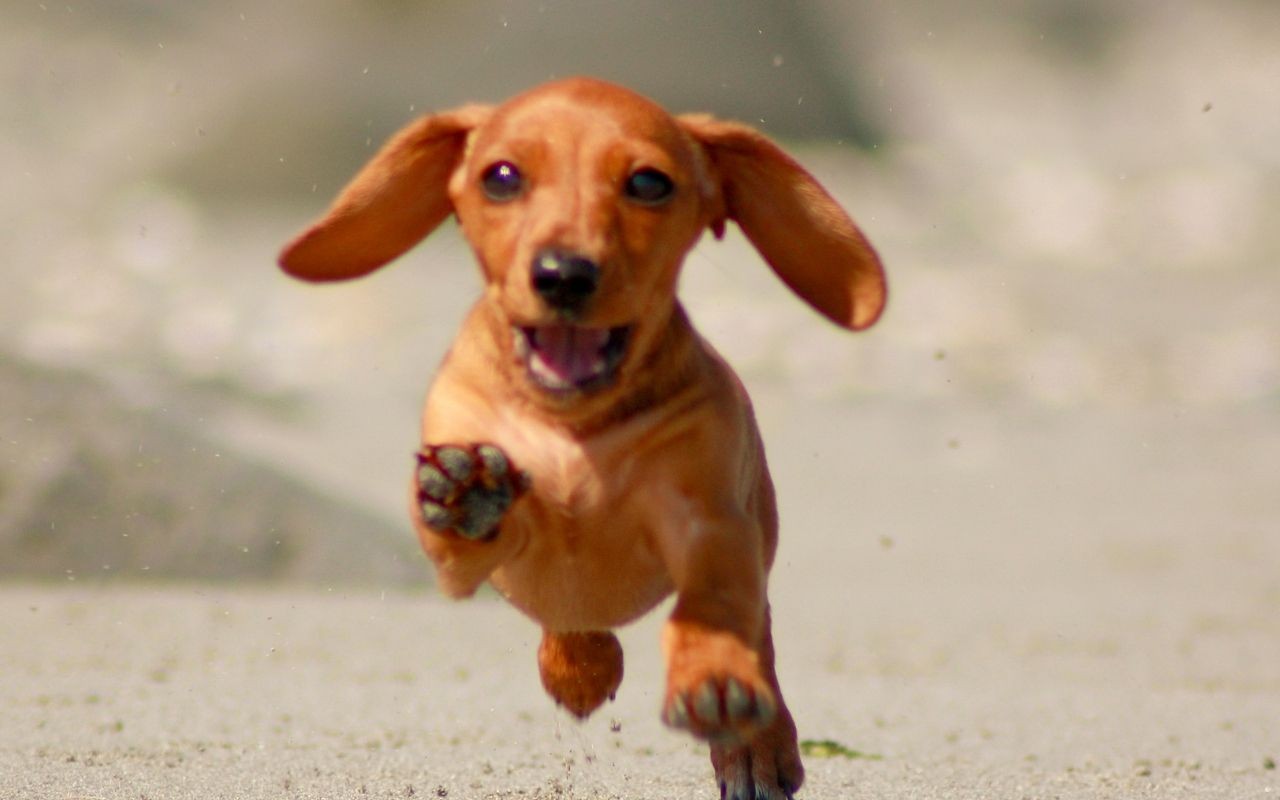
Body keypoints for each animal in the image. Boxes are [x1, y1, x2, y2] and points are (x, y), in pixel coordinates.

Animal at [276, 76, 885, 798]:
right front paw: (467, 495)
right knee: (573, 625)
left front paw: (713, 679)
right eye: (501, 177)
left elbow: (711, 604)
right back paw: (581, 669)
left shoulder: (710, 524)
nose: (564, 274)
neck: (573, 426)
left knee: (756, 632)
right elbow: (466, 535)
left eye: (648, 182)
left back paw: (754, 748)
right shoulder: (461, 555)